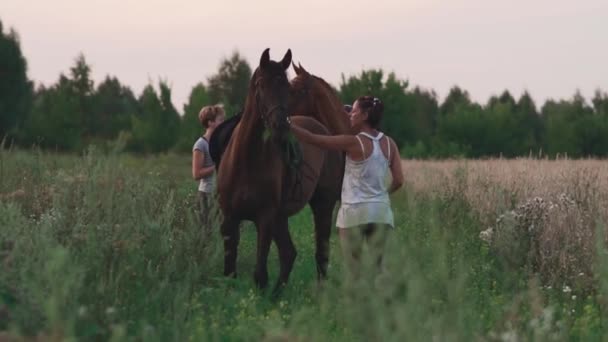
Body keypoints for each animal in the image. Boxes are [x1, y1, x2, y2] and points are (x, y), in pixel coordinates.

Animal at [215, 49, 330, 292]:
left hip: (323, 204)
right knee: (289, 253)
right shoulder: (230, 219)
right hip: (281, 217)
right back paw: (278, 293)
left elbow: (260, 274)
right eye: (261, 84)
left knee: (321, 253)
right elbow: (230, 271)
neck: (246, 160)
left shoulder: (265, 219)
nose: (280, 126)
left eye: (286, 87)